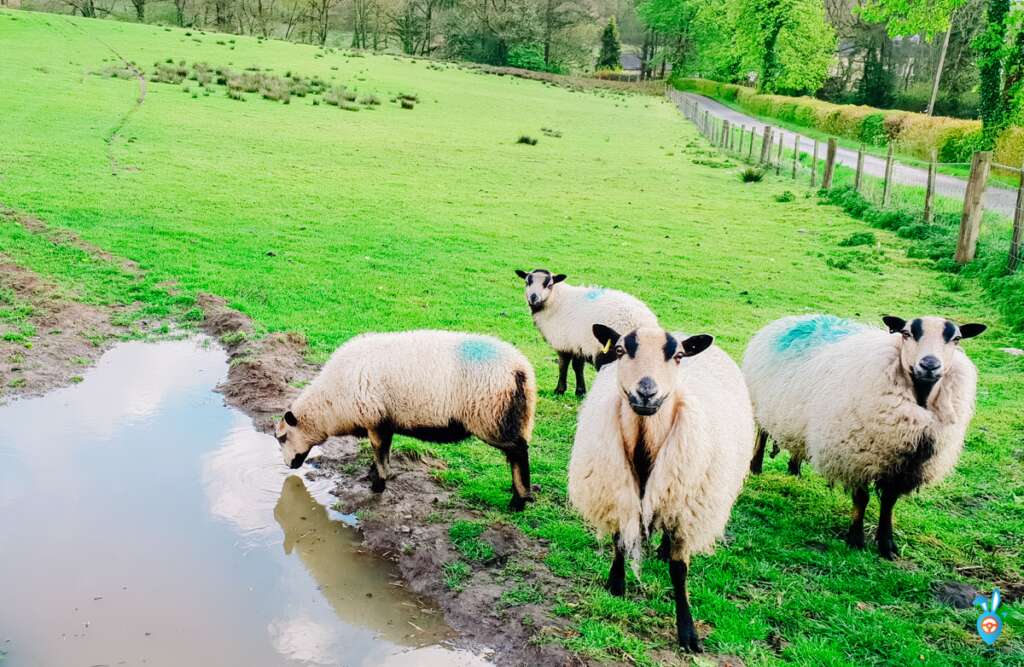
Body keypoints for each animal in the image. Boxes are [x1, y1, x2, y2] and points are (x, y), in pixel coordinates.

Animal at [276, 327, 540, 512]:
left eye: (282, 438)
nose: (288, 466)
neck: (330, 405)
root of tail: (522, 370)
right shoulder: (384, 422)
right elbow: (382, 451)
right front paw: (373, 474)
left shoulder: (374, 419)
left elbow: (380, 452)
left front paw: (378, 485)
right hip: (509, 419)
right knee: (516, 453)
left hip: (492, 418)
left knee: (519, 452)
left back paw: (519, 501)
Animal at [512, 268, 655, 397]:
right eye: (527, 282)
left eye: (549, 284)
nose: (533, 297)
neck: (555, 302)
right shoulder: (577, 344)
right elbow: (578, 367)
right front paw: (580, 392)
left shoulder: (564, 343)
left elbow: (563, 366)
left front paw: (559, 390)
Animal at [569, 325, 753, 651]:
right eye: (620, 350)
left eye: (678, 356)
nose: (646, 391)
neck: (645, 448)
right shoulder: (618, 494)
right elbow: (619, 541)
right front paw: (616, 584)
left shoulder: (685, 513)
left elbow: (680, 571)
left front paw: (688, 632)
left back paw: (665, 550)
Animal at [745, 313, 983, 557]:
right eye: (906, 333)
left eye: (956, 339)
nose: (929, 365)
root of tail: (796, 317)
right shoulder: (856, 455)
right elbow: (862, 498)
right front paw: (856, 539)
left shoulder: (902, 465)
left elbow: (889, 502)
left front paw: (887, 544)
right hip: (761, 401)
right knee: (762, 433)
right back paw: (756, 466)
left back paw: (795, 469)